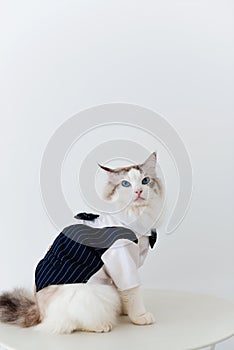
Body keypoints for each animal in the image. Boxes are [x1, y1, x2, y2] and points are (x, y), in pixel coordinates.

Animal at [0, 152, 165, 334]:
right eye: (125, 184)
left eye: (145, 181)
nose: (138, 191)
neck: (135, 218)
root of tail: (39, 312)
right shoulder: (123, 264)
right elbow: (132, 293)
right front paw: (139, 317)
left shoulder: (117, 272)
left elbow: (124, 295)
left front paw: (124, 311)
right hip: (89, 294)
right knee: (74, 322)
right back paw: (101, 326)